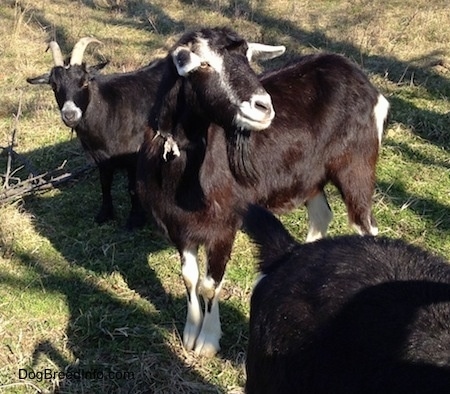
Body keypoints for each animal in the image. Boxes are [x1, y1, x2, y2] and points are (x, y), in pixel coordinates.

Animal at [26, 38, 164, 229]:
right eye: (54, 86)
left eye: (84, 82)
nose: (70, 114)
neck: (110, 110)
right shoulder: (101, 158)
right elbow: (104, 183)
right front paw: (104, 214)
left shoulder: (134, 157)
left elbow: (133, 188)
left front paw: (135, 220)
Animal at [135, 26, 388, 356]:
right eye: (203, 64)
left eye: (247, 58)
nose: (263, 107)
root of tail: (369, 87)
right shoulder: (179, 225)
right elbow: (189, 278)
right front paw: (189, 333)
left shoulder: (225, 225)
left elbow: (210, 284)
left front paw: (207, 341)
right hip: (311, 177)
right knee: (321, 216)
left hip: (356, 166)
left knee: (365, 225)